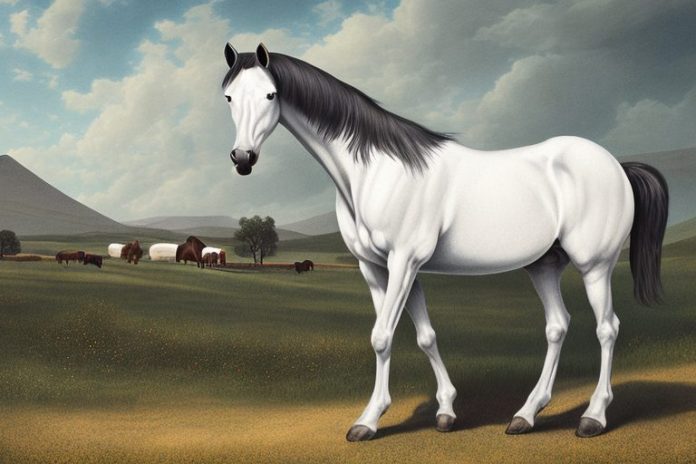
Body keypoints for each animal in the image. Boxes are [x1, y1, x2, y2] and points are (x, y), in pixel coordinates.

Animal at [221, 43, 669, 441]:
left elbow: (382, 337)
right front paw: (446, 412)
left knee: (607, 328)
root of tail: (616, 165)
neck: (376, 172)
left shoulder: (404, 261)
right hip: (544, 265)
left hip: (595, 265)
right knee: (558, 326)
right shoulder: (378, 267)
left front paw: (367, 422)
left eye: (270, 94)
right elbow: (423, 336)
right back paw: (525, 415)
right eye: (228, 97)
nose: (242, 159)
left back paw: (593, 418)